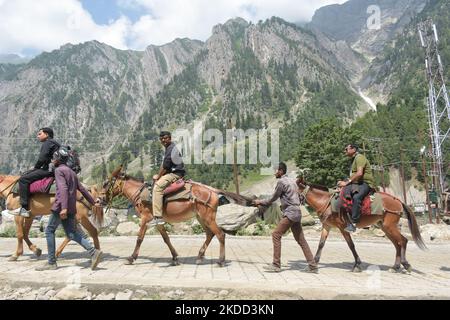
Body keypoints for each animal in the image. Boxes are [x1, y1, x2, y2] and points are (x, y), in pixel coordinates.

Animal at [99, 166, 250, 266]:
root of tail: (213, 190)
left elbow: (139, 239)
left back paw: (221, 260)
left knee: (220, 234)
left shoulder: (146, 218)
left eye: (106, 183)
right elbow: (166, 238)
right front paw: (175, 257)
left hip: (208, 217)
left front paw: (131, 258)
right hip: (201, 218)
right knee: (210, 234)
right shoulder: (157, 221)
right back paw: (200, 256)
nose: (99, 200)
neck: (141, 194)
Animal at [296, 180, 426, 272]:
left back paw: (405, 264)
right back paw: (395, 267)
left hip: (390, 226)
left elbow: (351, 245)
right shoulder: (327, 226)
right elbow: (321, 244)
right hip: (385, 227)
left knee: (403, 241)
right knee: (397, 244)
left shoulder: (342, 228)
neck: (326, 202)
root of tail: (398, 201)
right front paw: (313, 265)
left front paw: (357, 265)